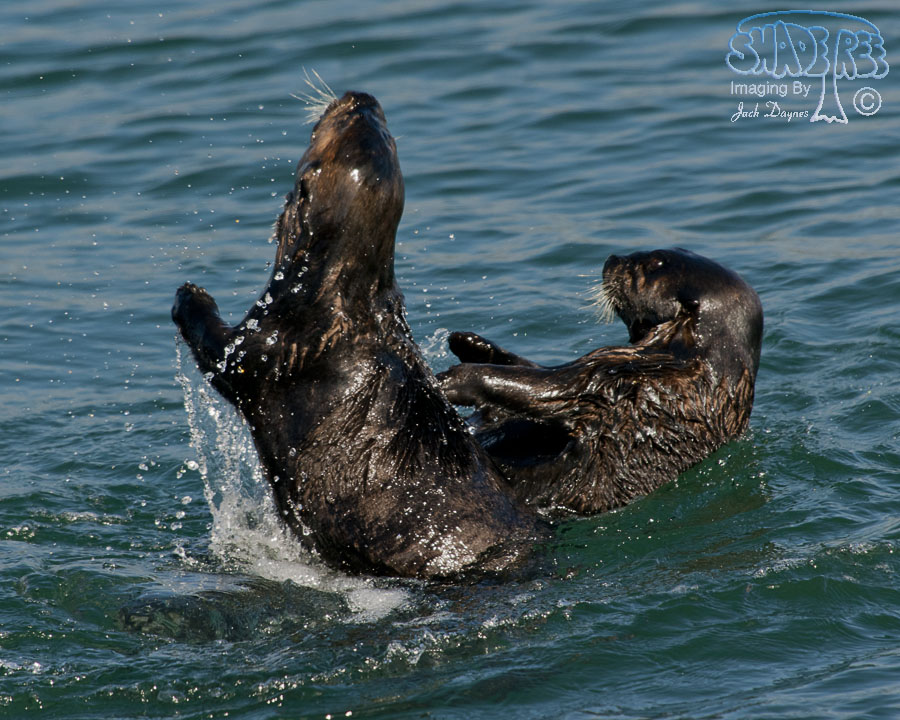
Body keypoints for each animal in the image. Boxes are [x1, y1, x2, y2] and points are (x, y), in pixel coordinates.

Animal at [172, 92, 543, 579]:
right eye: (373, 119)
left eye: (339, 121)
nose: (358, 97)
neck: (340, 294)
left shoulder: (270, 341)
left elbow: (218, 349)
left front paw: (189, 295)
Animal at [438, 248, 763, 514]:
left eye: (656, 264)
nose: (612, 259)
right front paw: (471, 343)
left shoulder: (612, 374)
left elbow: (547, 388)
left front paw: (454, 379)